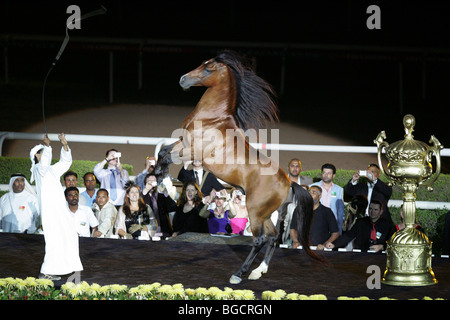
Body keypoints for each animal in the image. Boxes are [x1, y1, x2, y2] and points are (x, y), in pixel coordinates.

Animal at [156, 51, 318, 284]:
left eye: (209, 68)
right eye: (202, 63)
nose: (183, 79)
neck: (212, 119)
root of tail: (288, 183)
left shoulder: (193, 152)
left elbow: (168, 156)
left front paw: (163, 181)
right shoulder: (182, 142)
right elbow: (163, 153)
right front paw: (161, 181)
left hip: (255, 211)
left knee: (260, 239)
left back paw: (238, 274)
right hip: (267, 214)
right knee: (273, 237)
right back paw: (258, 271)